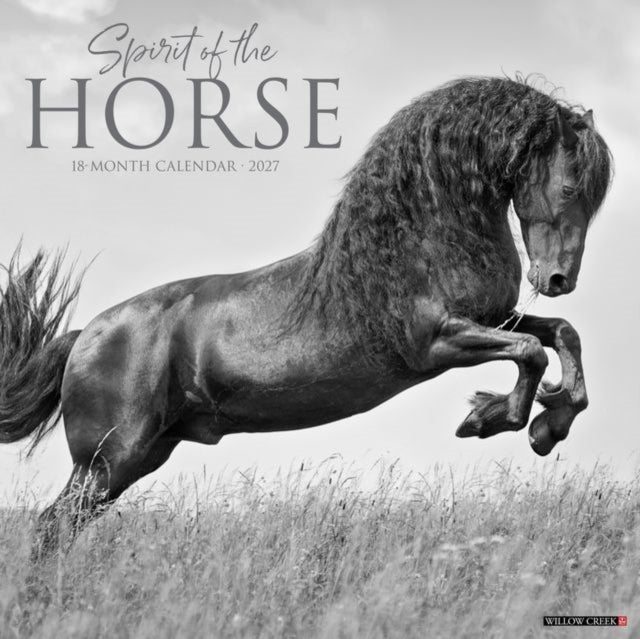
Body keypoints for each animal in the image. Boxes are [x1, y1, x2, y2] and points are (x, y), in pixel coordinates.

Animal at [0, 76, 611, 557]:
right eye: (567, 187)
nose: (559, 281)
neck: (414, 245)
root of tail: (85, 336)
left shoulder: (493, 317)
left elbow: (561, 335)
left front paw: (551, 421)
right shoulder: (438, 343)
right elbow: (530, 353)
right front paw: (492, 419)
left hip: (142, 455)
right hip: (109, 460)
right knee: (53, 526)